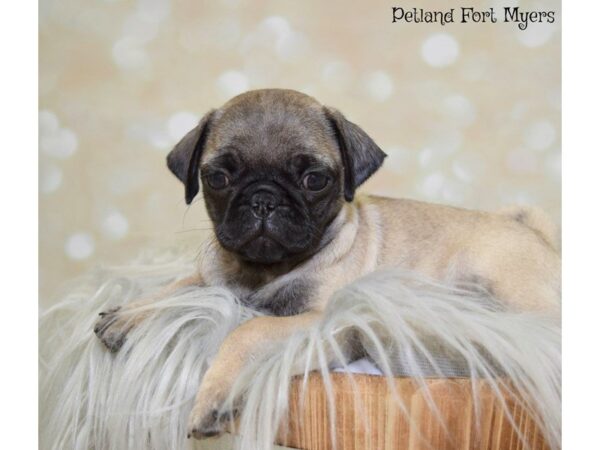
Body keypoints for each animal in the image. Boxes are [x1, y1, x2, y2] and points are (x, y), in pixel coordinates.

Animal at [92, 88, 556, 440]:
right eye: (218, 178)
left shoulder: (321, 320)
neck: (263, 271)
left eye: (314, 179)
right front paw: (130, 313)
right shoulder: (216, 277)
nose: (263, 199)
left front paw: (214, 396)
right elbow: (183, 286)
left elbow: (248, 330)